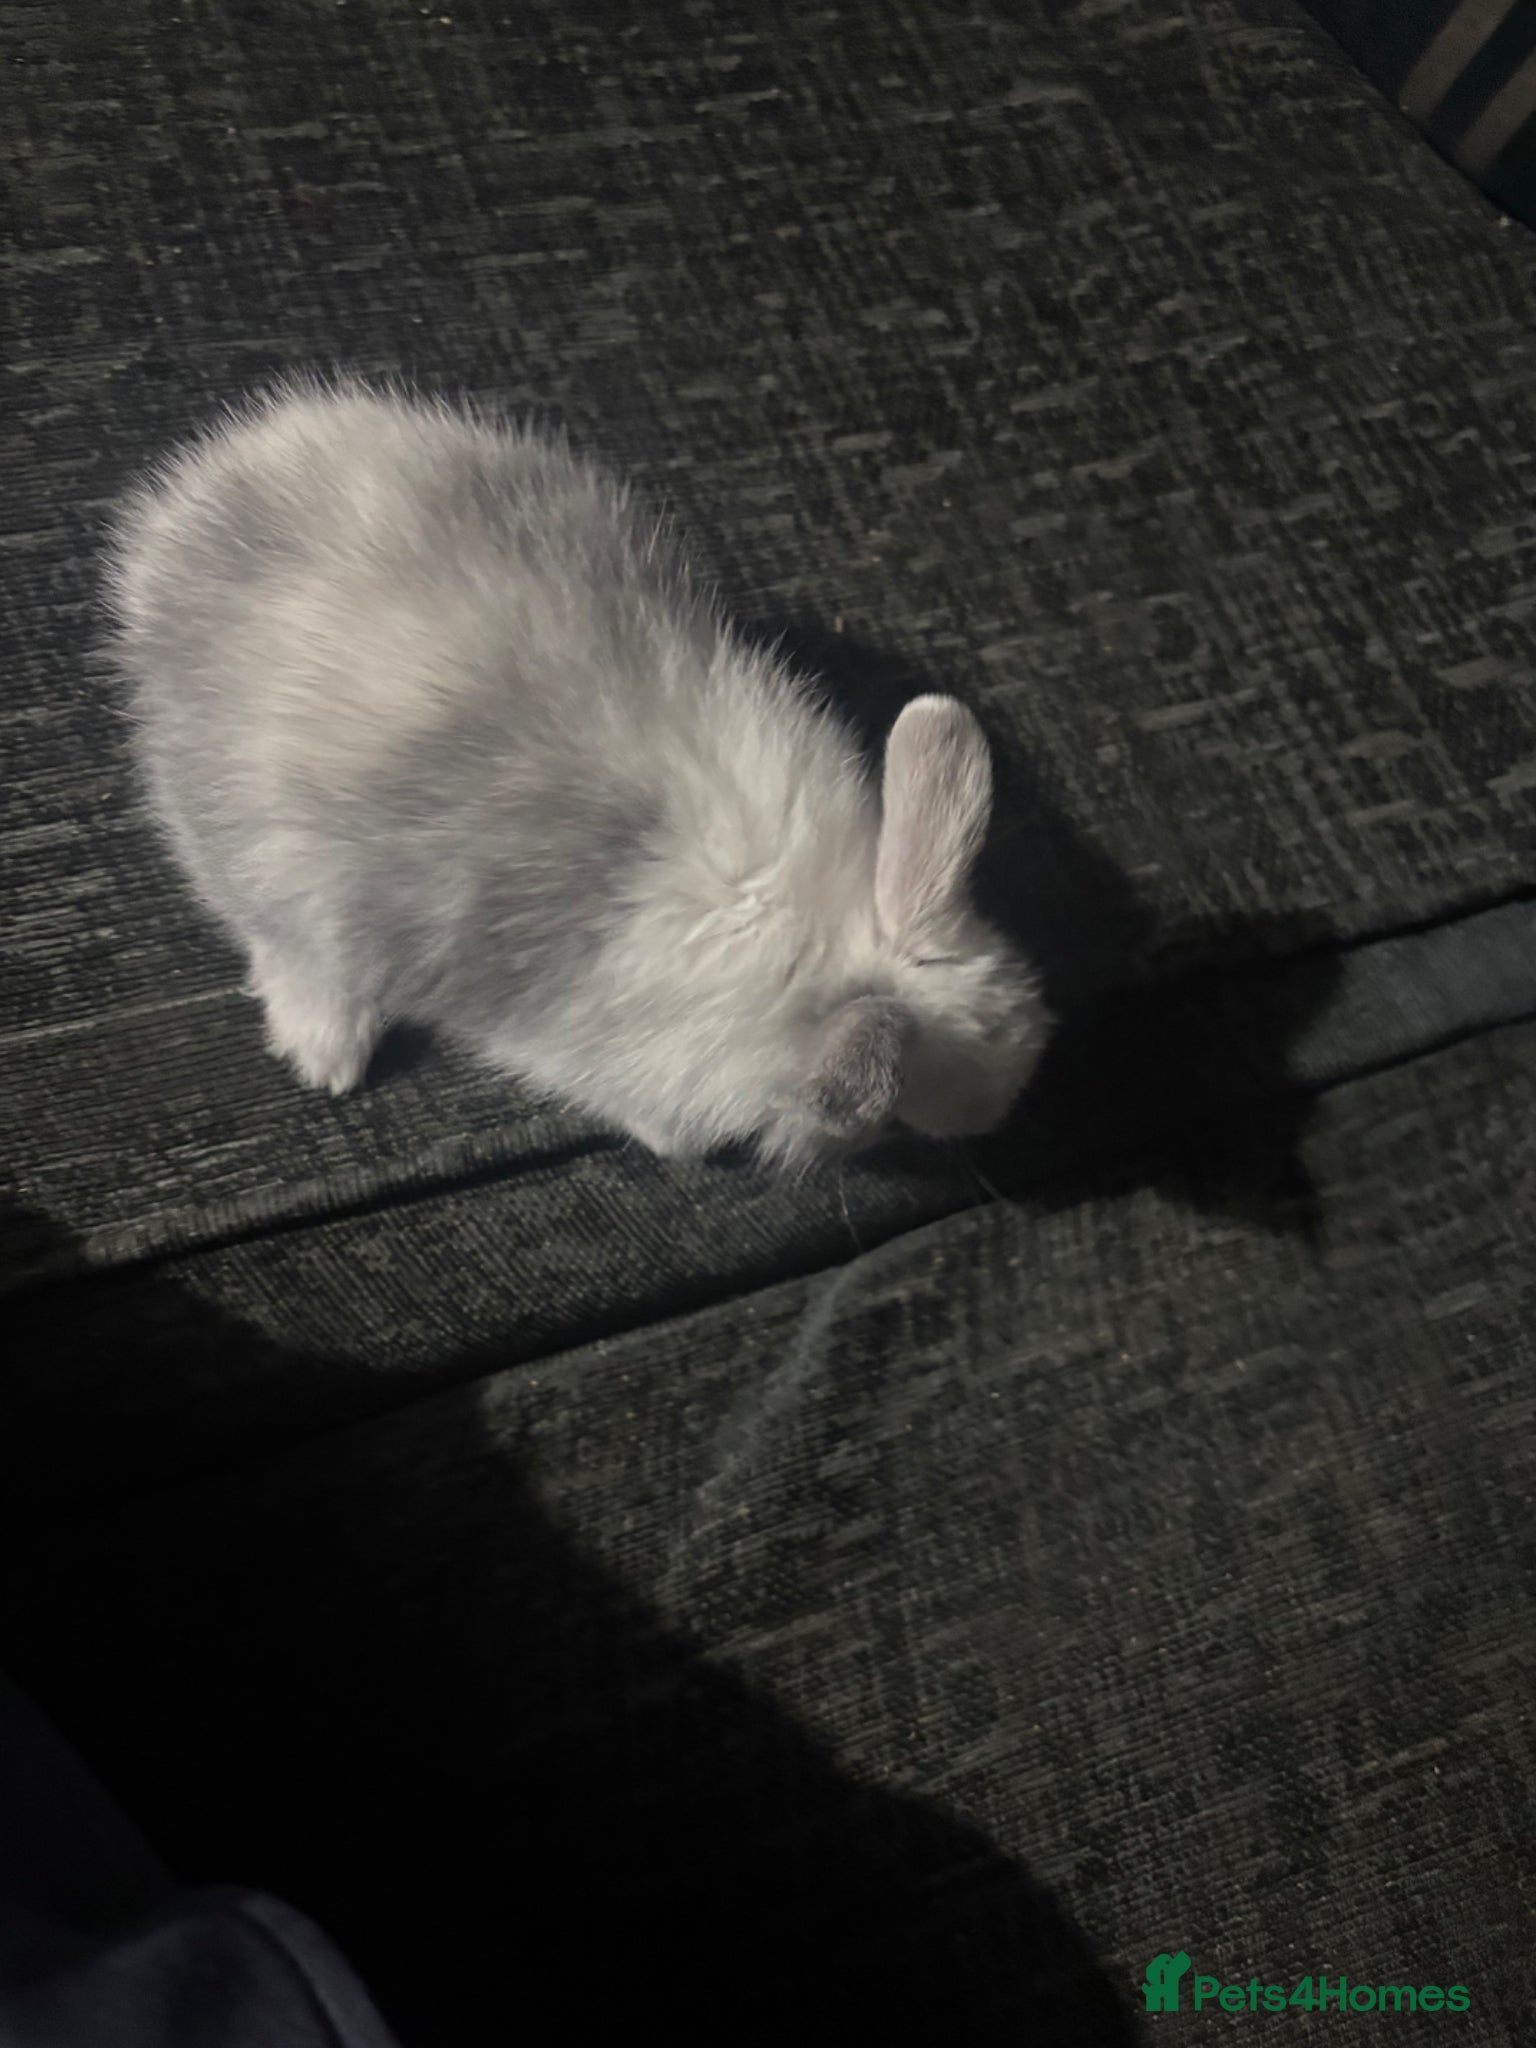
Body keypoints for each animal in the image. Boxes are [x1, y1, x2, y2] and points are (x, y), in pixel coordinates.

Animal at [104, 380, 1048, 1170]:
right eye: (893, 1123)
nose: (1002, 1113)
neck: (816, 939)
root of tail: (175, 528)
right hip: (265, 865)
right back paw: (327, 1058)